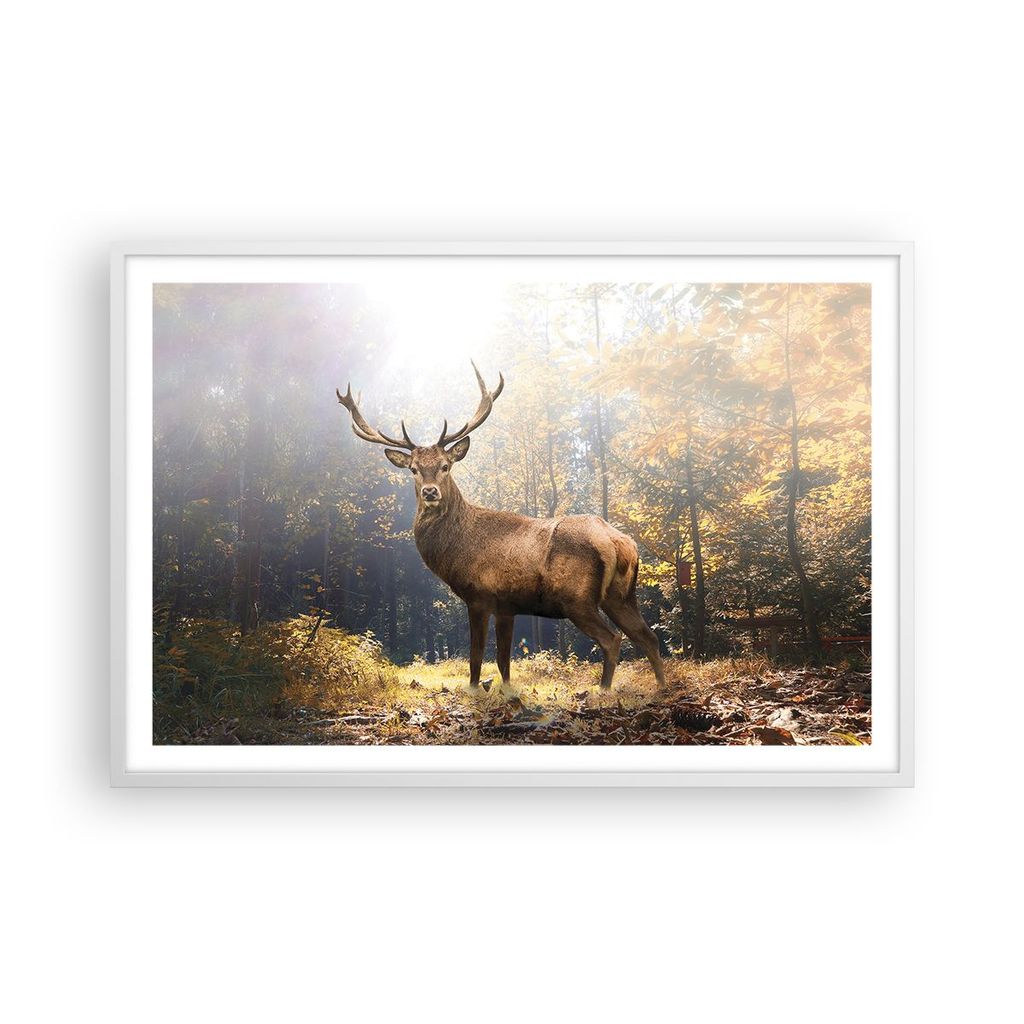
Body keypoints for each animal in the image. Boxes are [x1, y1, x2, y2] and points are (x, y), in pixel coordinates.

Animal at [336, 362, 666, 692]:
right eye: (414, 469)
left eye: (445, 466)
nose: (430, 492)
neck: (456, 550)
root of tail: (618, 541)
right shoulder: (508, 605)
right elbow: (504, 660)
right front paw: (506, 691)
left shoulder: (479, 595)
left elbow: (476, 655)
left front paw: (474, 690)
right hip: (621, 595)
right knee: (649, 636)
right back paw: (661, 687)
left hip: (577, 597)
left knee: (613, 639)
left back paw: (603, 690)